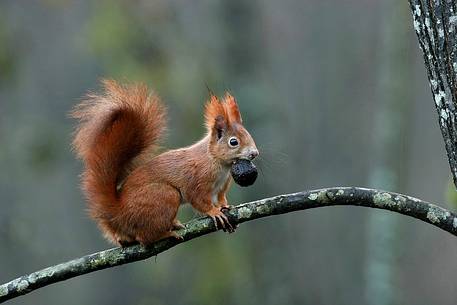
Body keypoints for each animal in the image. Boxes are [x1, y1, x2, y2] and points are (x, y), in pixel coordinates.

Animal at [71, 79, 256, 246]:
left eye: (248, 134)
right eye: (233, 142)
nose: (254, 153)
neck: (219, 163)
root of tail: (119, 212)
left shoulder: (220, 188)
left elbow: (221, 198)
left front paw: (225, 206)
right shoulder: (197, 178)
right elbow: (197, 199)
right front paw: (214, 211)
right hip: (164, 196)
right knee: (144, 238)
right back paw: (165, 234)